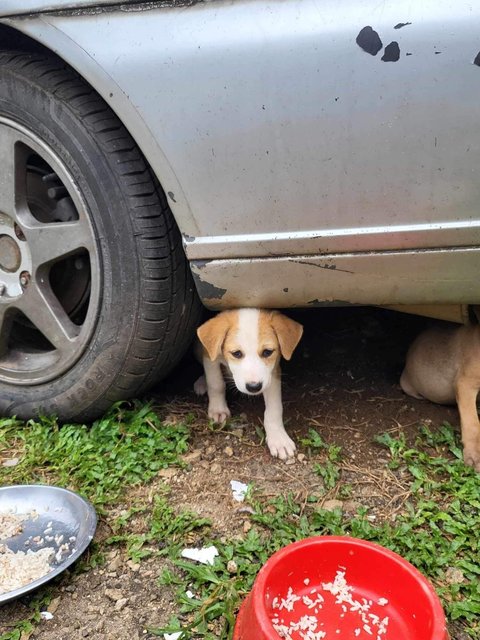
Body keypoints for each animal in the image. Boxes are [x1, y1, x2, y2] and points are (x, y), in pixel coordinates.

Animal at [193, 308, 302, 458]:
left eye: (267, 352)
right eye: (236, 353)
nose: (254, 387)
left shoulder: (272, 373)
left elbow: (274, 408)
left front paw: (278, 438)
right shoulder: (210, 357)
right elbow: (216, 385)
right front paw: (218, 410)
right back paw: (201, 382)